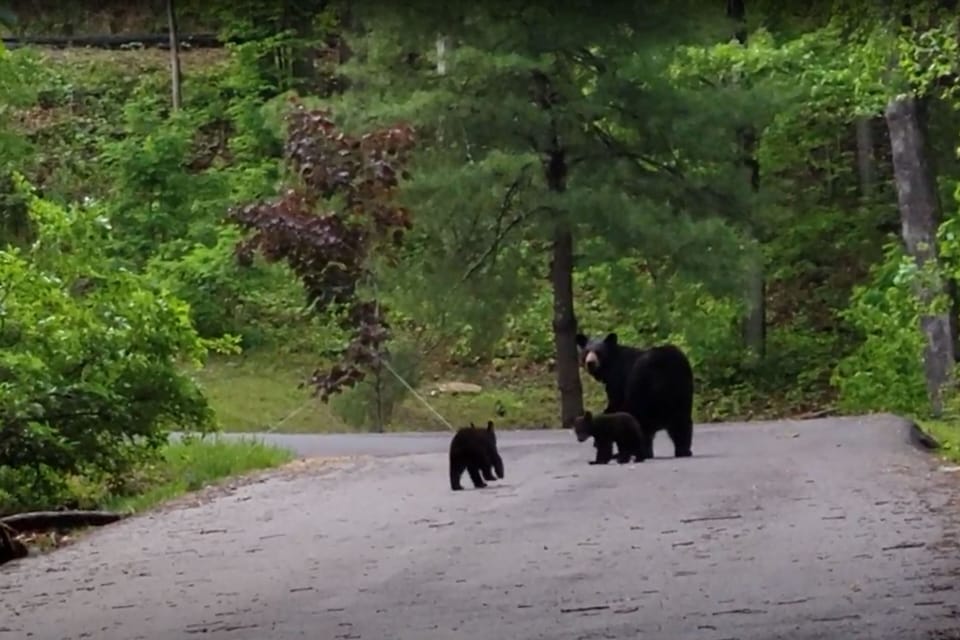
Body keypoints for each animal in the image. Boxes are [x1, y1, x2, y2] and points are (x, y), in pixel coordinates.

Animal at [575, 331, 695, 461]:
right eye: (586, 351)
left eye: (599, 352)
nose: (590, 363)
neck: (610, 366)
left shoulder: (618, 381)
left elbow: (614, 404)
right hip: (681, 391)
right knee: (681, 423)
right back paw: (683, 450)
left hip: (641, 390)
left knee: (642, 424)